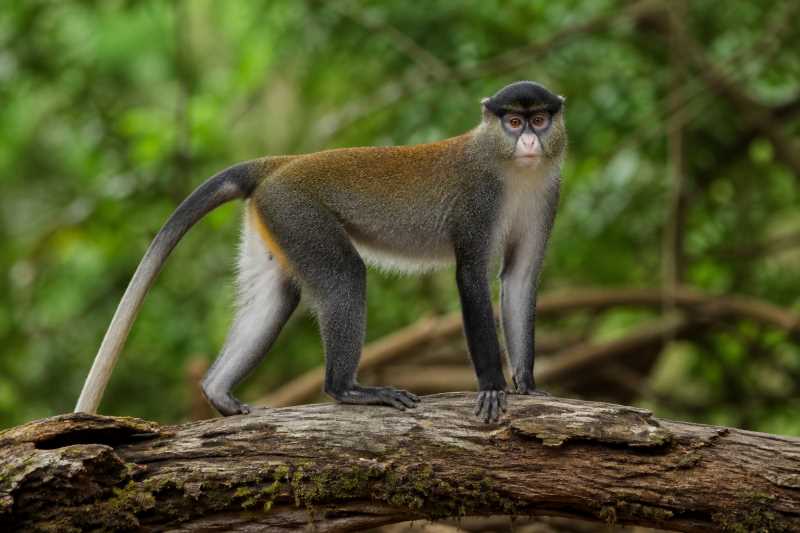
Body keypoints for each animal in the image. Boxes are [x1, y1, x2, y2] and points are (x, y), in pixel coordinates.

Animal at [74, 81, 566, 423]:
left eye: (541, 120)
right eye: (514, 123)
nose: (529, 142)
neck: (510, 168)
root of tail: (279, 164)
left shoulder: (547, 194)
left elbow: (520, 278)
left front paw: (527, 385)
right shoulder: (478, 202)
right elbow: (471, 277)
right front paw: (493, 388)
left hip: (276, 221)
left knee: (276, 296)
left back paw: (218, 392)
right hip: (298, 213)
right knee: (346, 276)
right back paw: (347, 389)